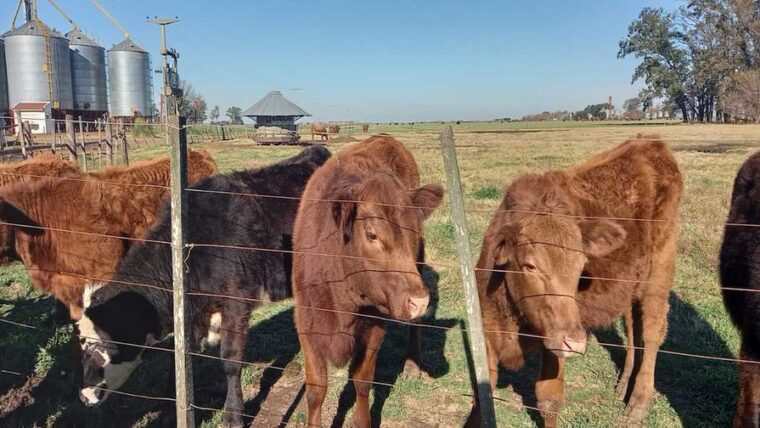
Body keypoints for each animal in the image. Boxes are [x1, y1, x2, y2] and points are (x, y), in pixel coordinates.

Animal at [76, 146, 331, 428]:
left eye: (100, 345)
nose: (84, 396)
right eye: (81, 344)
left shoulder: (236, 302)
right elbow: (178, 359)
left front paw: (233, 415)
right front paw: (171, 411)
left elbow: (230, 359)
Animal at [292, 135, 443, 427]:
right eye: (372, 234)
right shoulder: (307, 322)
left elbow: (362, 381)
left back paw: (413, 365)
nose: (419, 301)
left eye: (414, 231)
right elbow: (316, 389)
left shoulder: (375, 325)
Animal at [468, 136, 682, 427]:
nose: (576, 341)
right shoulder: (488, 332)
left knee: (651, 331)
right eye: (530, 265)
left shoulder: (554, 343)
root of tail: (650, 143)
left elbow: (549, 400)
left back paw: (638, 401)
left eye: (581, 266)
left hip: (659, 272)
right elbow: (482, 397)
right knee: (631, 327)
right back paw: (623, 386)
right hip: (631, 284)